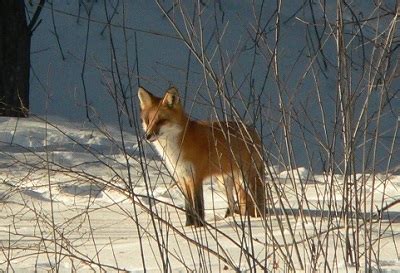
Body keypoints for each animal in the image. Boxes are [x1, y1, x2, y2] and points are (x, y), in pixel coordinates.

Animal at [138, 86, 266, 225]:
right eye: (148, 121)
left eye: (161, 121)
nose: (147, 136)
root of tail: (252, 130)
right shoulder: (182, 178)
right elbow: (188, 208)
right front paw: (189, 226)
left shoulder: (195, 177)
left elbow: (198, 207)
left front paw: (199, 226)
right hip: (224, 183)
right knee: (233, 203)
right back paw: (231, 219)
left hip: (247, 180)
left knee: (255, 201)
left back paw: (259, 219)